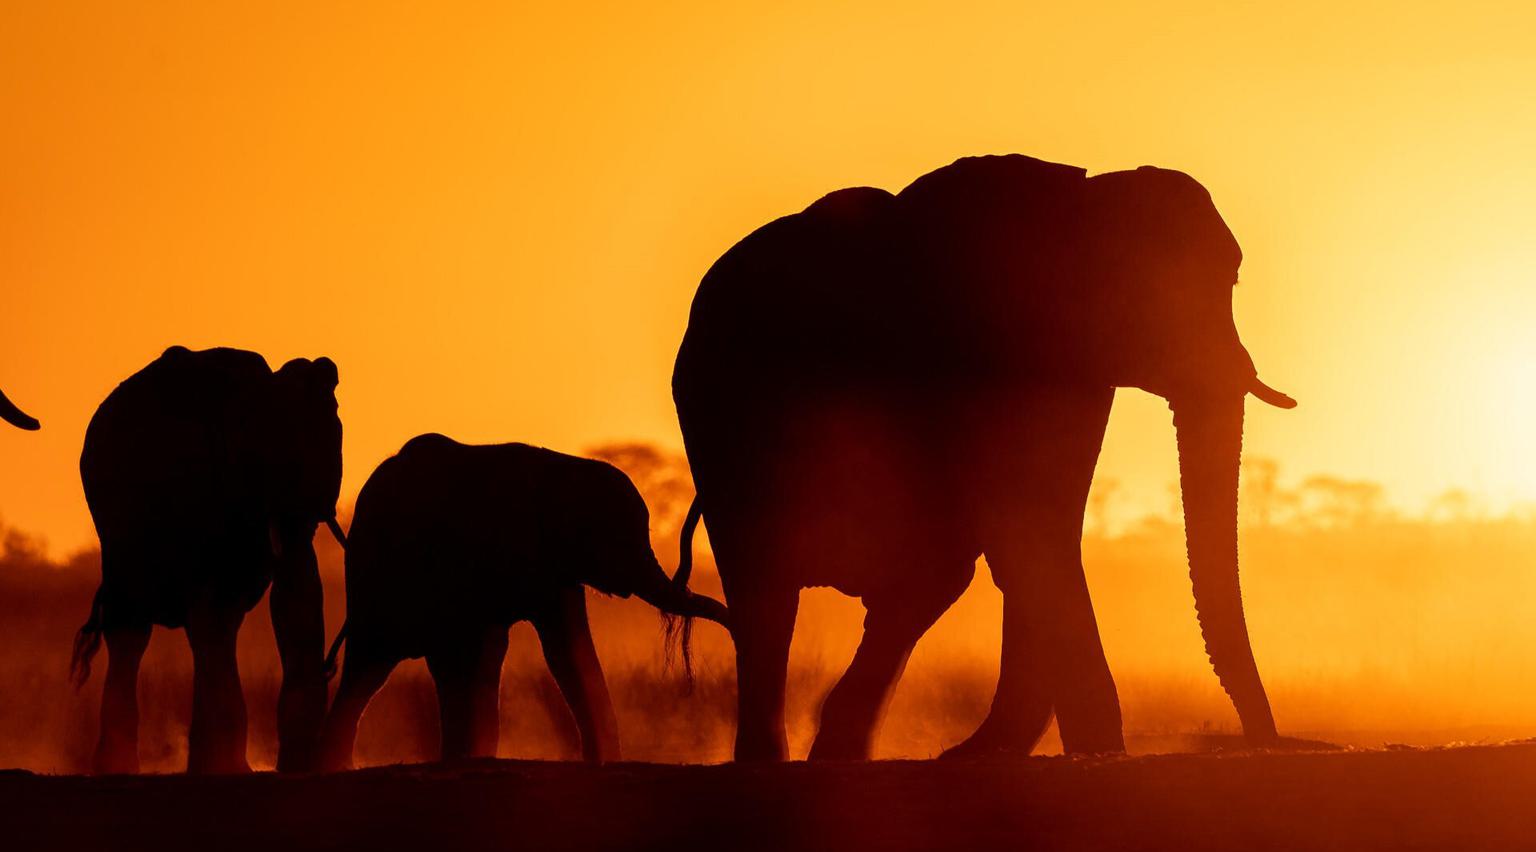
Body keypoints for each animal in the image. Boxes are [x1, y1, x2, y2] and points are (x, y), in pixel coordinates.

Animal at [71, 345, 345, 774]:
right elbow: (217, 608)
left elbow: (298, 594)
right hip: (116, 517)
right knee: (137, 625)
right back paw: (119, 766)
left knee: (213, 625)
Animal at [316, 434, 730, 770]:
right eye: (617, 537)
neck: (563, 468)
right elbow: (556, 649)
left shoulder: (554, 568)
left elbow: (565, 646)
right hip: (376, 575)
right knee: (377, 661)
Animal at [672, 154, 1297, 762]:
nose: (1263, 740)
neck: (1082, 202)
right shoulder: (978, 354)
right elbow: (1025, 532)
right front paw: (1096, 751)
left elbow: (1043, 530)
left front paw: (1008, 753)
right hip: (717, 416)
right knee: (768, 590)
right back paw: (776, 758)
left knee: (925, 578)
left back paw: (843, 751)